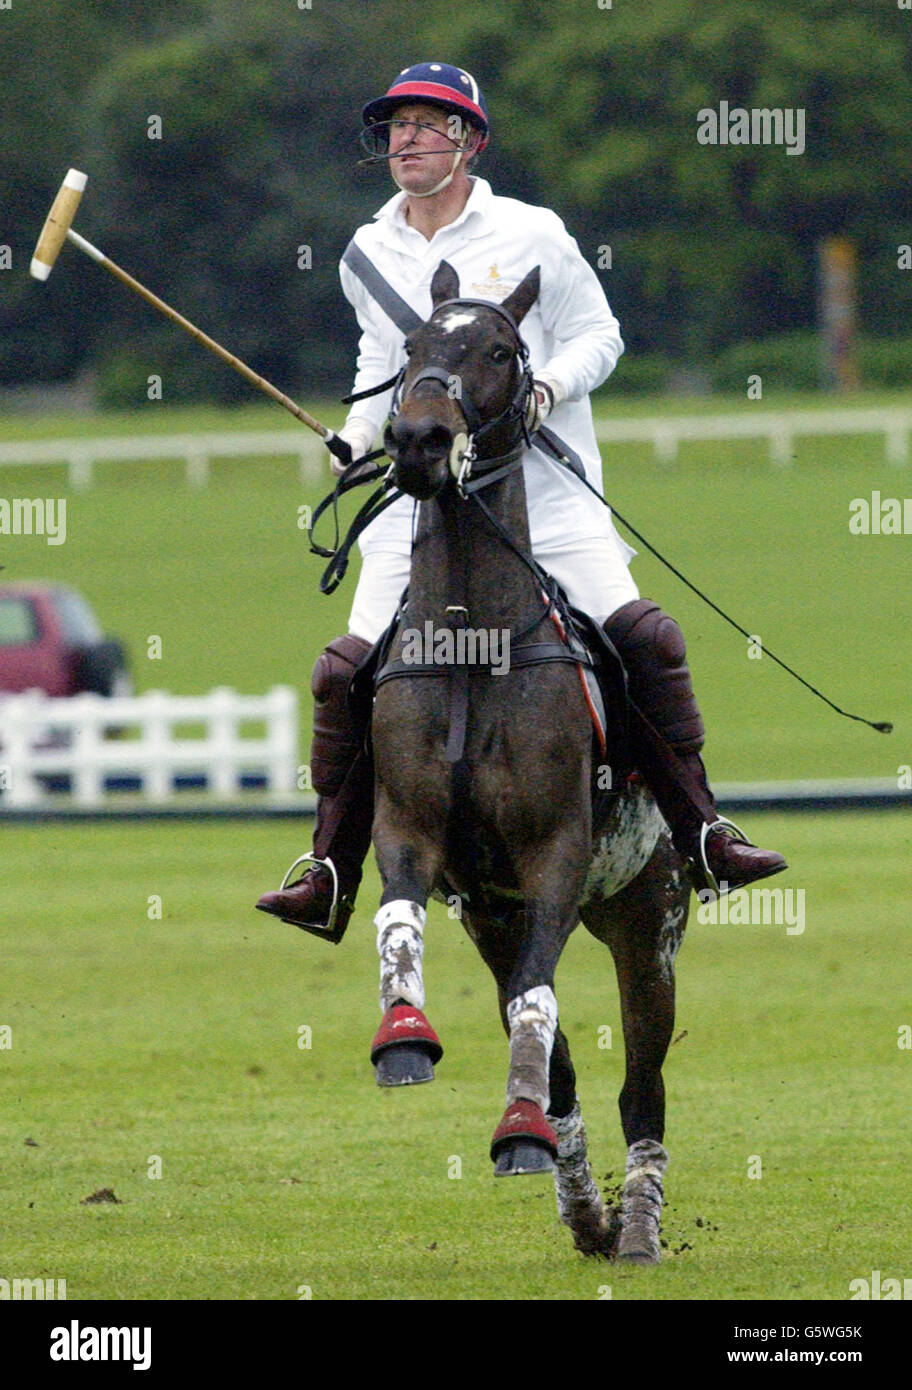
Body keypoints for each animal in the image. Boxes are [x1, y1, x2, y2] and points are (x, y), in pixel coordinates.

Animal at [367, 261, 686, 1262]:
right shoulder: (423, 841)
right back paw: (584, 1205)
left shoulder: (555, 856)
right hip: (499, 922)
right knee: (567, 1065)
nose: (420, 440)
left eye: (503, 350)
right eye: (410, 346)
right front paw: (404, 1037)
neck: (477, 644)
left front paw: (518, 1130)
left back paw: (638, 1225)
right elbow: (399, 920)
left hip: (648, 922)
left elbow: (544, 1010)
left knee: (641, 1082)